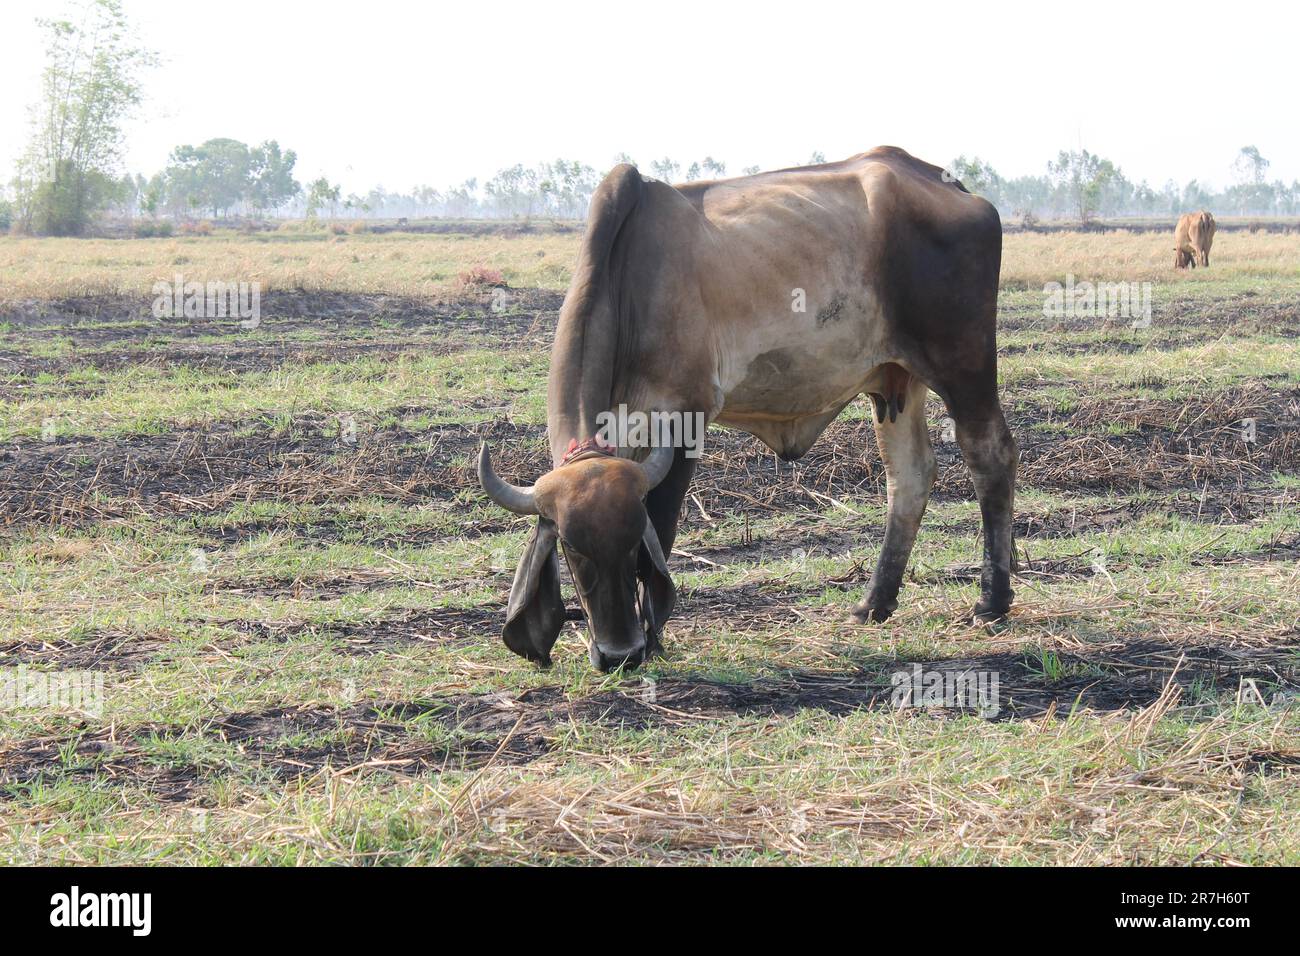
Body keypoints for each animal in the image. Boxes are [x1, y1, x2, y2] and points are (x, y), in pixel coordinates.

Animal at [478, 147, 1017, 671]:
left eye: (632, 541)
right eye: (571, 547)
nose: (619, 654)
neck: (629, 281)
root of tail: (950, 184)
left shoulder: (686, 416)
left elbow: (663, 532)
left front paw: (656, 639)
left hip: (961, 365)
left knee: (990, 455)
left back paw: (991, 603)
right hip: (896, 381)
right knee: (909, 476)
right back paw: (873, 603)